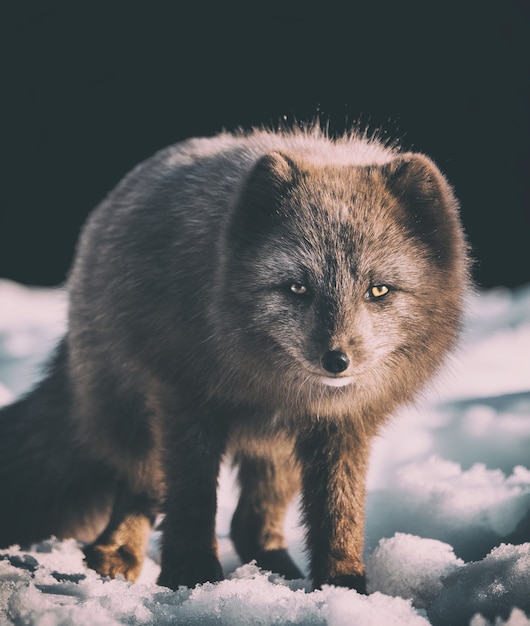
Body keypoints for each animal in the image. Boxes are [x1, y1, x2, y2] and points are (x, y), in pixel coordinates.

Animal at [0, 123, 468, 588]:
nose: (336, 361)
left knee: (250, 525)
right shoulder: (185, 400)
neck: (270, 384)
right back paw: (116, 555)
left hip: (278, 452)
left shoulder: (344, 425)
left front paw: (343, 584)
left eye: (379, 290)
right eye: (298, 287)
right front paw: (191, 573)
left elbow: (340, 513)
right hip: (138, 422)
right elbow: (192, 499)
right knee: (141, 492)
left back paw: (275, 573)